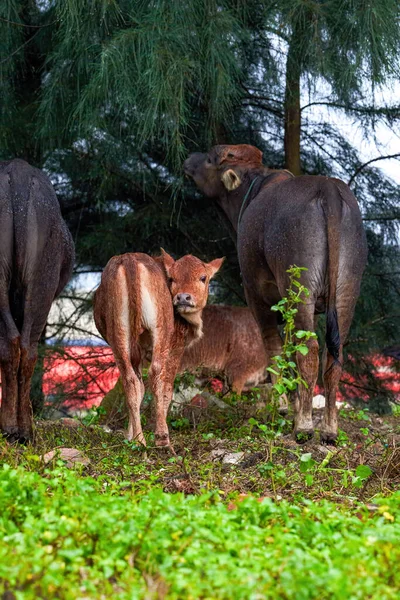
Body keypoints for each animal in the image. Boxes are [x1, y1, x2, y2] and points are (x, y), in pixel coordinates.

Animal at [94, 247, 225, 446]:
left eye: (203, 277)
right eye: (171, 278)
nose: (183, 297)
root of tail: (129, 259)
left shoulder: (139, 351)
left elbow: (140, 389)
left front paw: (130, 435)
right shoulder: (177, 345)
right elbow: (167, 390)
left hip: (119, 333)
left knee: (130, 380)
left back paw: (139, 440)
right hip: (159, 328)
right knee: (156, 375)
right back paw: (162, 437)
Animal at [184, 144, 366, 446]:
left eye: (209, 159)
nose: (189, 159)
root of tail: (327, 188)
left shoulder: (256, 295)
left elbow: (275, 349)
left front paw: (282, 405)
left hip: (300, 287)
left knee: (309, 350)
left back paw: (303, 426)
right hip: (346, 292)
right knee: (333, 355)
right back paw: (329, 429)